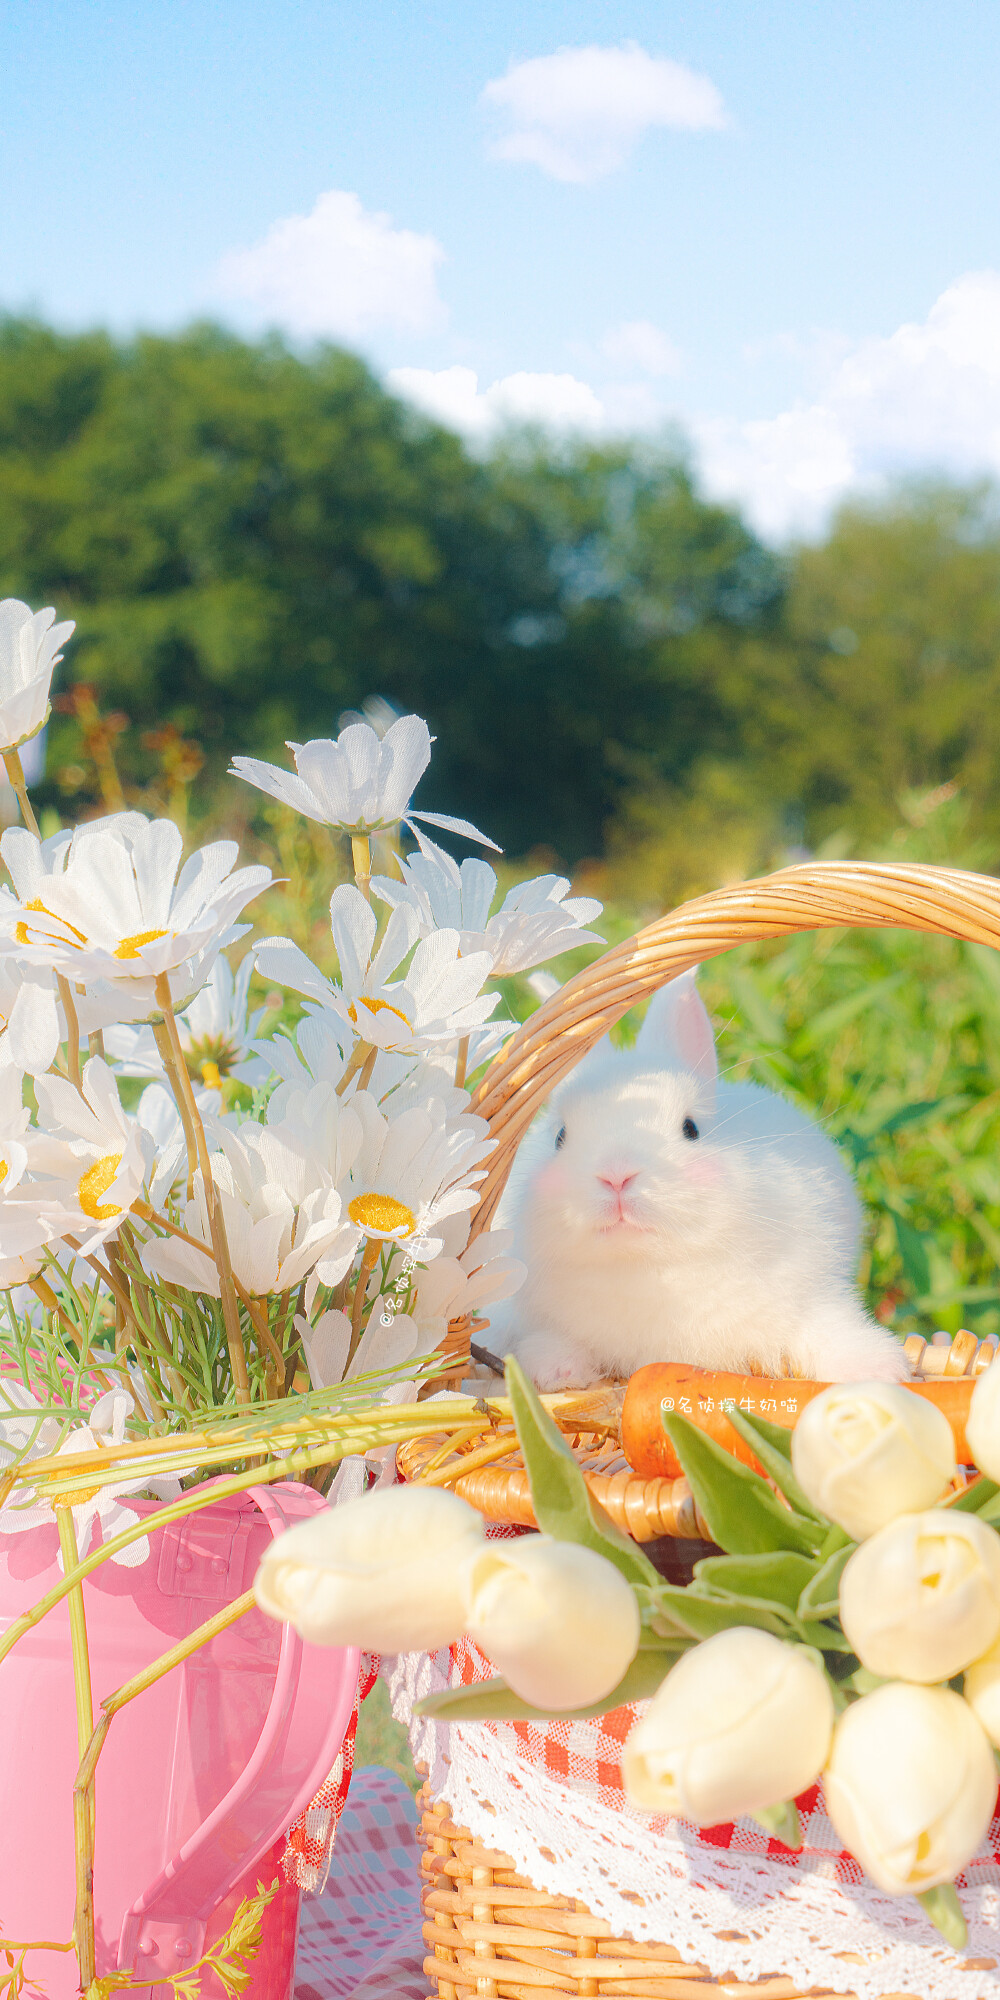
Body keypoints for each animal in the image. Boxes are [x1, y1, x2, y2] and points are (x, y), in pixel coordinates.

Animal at [496, 972, 912, 1392]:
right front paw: (560, 1374)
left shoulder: (813, 1295)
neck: (649, 1268)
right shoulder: (535, 1319)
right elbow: (547, 1342)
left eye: (691, 1128)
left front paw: (882, 1370)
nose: (616, 1174)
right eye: (560, 1137)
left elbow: (832, 1329)